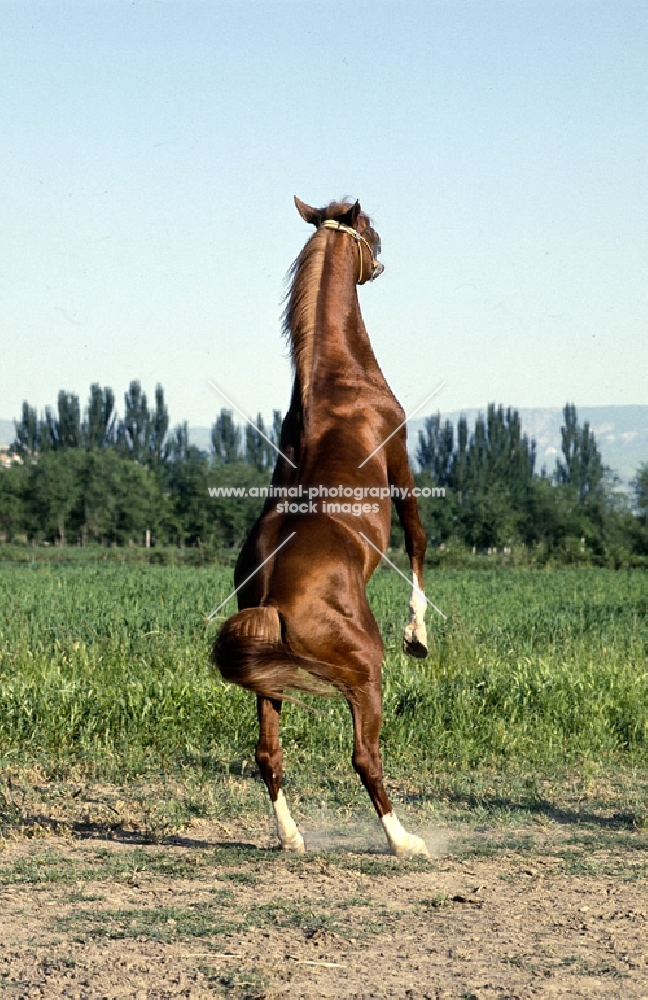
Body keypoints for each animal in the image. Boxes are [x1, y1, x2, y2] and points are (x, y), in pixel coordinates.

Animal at [213, 197, 432, 860]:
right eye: (369, 229)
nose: (380, 262)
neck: (336, 379)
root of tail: (276, 602)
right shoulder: (401, 457)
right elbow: (418, 539)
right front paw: (418, 633)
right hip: (364, 673)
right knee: (365, 756)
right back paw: (404, 840)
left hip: (269, 682)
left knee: (267, 753)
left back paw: (291, 837)